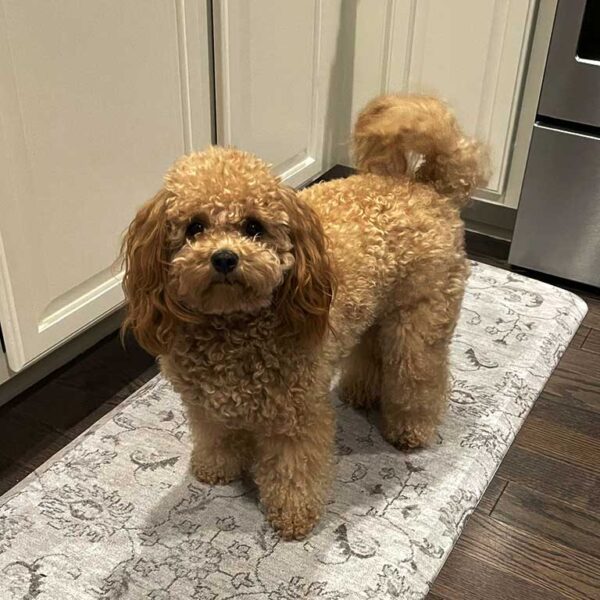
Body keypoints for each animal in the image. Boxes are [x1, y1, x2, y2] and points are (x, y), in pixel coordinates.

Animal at [120, 95, 488, 540]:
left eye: (253, 227)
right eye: (194, 228)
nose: (224, 258)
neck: (232, 326)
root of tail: (427, 187)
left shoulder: (296, 415)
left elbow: (293, 468)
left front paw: (293, 516)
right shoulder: (207, 406)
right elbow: (217, 437)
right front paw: (215, 469)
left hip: (418, 321)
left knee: (421, 377)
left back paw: (410, 430)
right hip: (375, 309)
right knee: (370, 352)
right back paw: (360, 391)